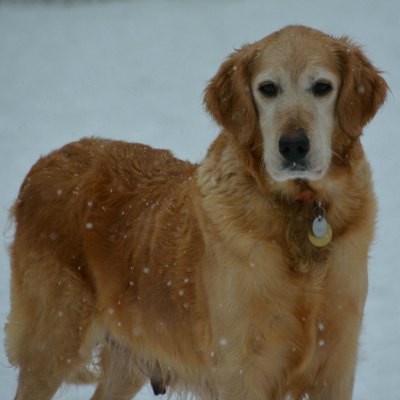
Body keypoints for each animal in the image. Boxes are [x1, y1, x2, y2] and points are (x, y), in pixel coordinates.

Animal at [5, 25, 387, 400]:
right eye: (268, 89)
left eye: (322, 87)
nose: (293, 146)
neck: (299, 209)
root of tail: (44, 164)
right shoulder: (241, 371)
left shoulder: (336, 365)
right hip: (52, 342)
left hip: (127, 357)